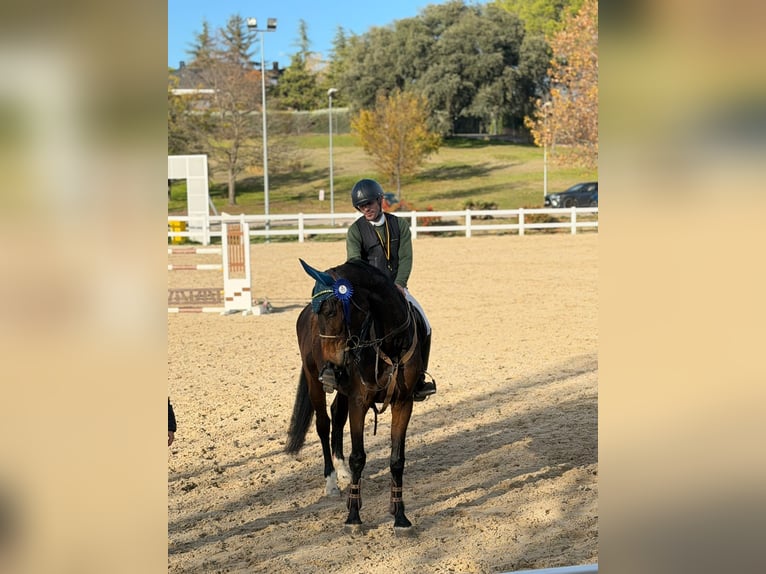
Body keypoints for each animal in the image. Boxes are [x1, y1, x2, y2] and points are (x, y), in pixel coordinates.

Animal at [286, 258, 428, 532]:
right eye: (320, 313)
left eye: (331, 311)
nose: (332, 363)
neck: (390, 343)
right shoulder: (359, 402)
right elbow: (358, 457)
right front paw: (353, 516)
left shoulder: (403, 403)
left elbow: (397, 460)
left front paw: (400, 516)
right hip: (314, 380)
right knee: (323, 424)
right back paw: (331, 481)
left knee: (337, 416)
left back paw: (342, 471)